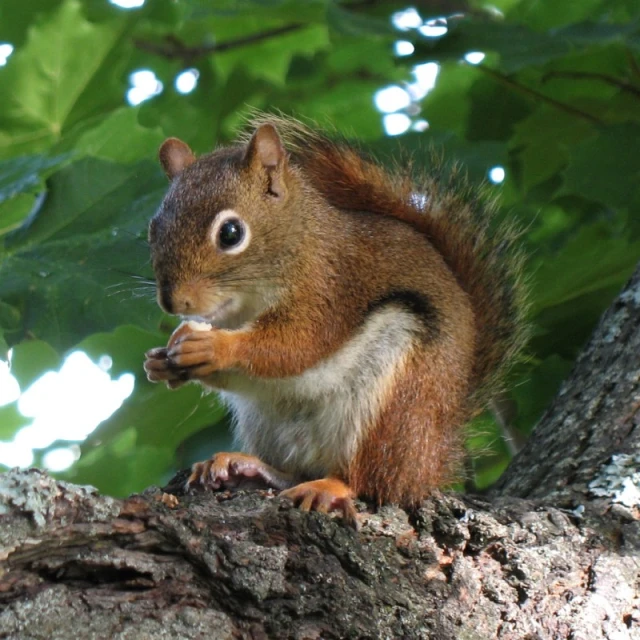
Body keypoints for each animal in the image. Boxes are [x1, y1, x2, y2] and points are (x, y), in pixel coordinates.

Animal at [142, 114, 528, 524]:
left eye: (231, 233)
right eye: (153, 229)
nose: (173, 302)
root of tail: (435, 456)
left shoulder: (331, 288)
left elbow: (297, 345)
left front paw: (214, 346)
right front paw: (160, 363)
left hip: (397, 410)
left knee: (375, 481)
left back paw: (332, 486)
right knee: (293, 470)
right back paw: (247, 466)